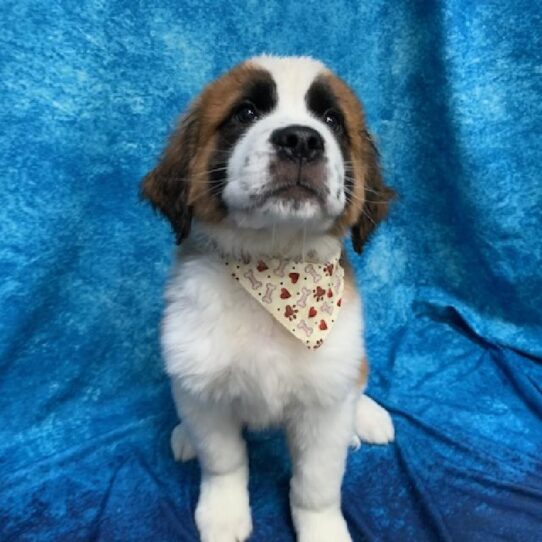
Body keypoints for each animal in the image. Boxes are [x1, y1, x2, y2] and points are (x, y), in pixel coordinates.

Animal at [143, 56, 400, 542]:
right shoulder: (204, 390)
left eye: (332, 120)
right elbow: (223, 462)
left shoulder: (324, 402)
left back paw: (366, 417)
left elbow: (315, 486)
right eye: (245, 113)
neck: (276, 270)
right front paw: (223, 515)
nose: (301, 139)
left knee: (358, 380)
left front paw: (322, 530)